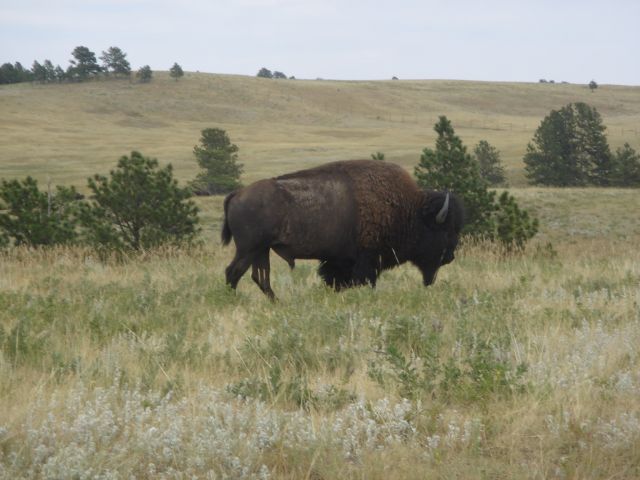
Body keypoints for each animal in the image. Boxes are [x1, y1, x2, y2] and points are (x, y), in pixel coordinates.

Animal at [222, 159, 462, 298]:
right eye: (445, 231)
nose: (450, 256)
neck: (408, 210)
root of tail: (237, 193)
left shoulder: (338, 261)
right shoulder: (366, 260)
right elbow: (364, 280)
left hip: (261, 251)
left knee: (260, 277)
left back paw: (276, 302)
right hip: (249, 249)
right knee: (234, 272)